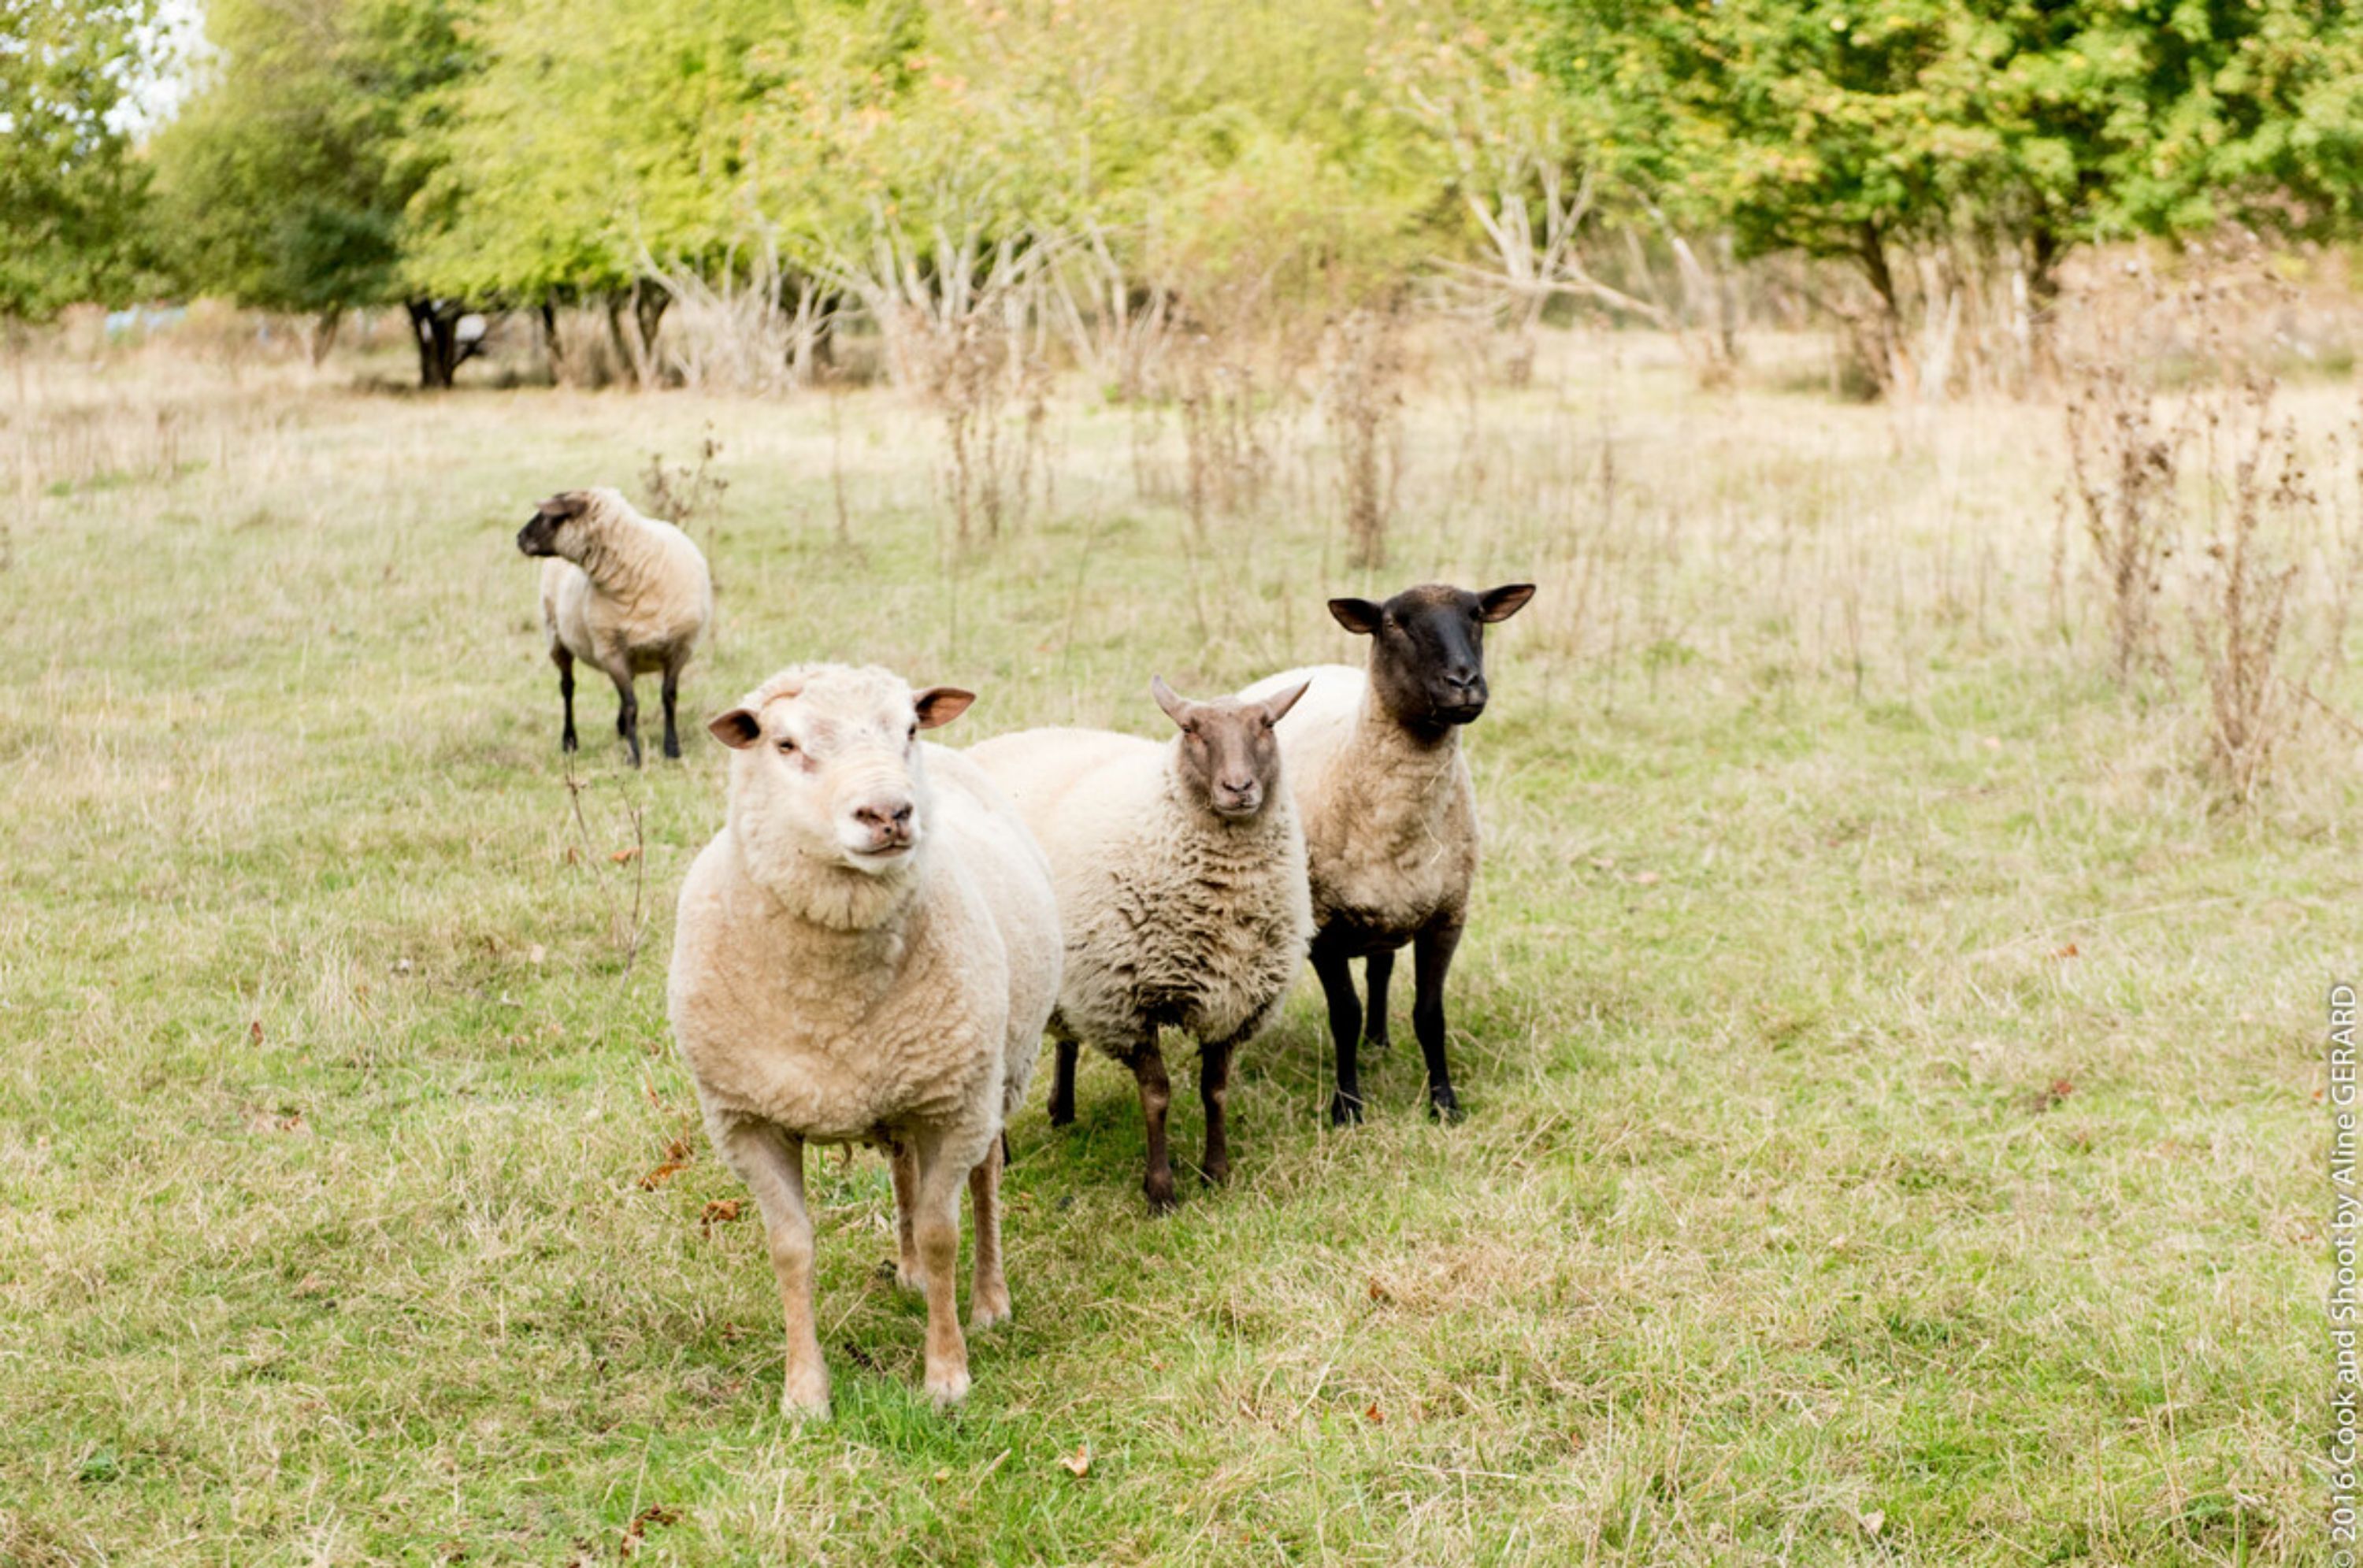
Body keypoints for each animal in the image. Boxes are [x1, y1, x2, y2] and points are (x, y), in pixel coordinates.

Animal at [514, 487, 713, 766]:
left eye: (549, 515)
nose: (519, 538)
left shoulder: (680, 648)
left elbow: (669, 697)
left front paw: (672, 749)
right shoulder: (611, 651)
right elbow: (631, 704)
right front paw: (634, 756)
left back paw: (619, 729)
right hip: (556, 637)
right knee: (568, 688)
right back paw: (570, 740)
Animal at [667, 663, 1061, 1415]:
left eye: (908, 728)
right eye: (785, 744)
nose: (889, 813)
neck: (833, 1006)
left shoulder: (951, 1105)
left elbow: (941, 1232)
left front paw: (946, 1375)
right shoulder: (748, 1121)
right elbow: (790, 1248)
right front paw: (804, 1394)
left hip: (988, 1078)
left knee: (985, 1180)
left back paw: (989, 1300)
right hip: (901, 1084)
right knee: (903, 1167)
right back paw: (907, 1273)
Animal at [967, 675, 1313, 1211]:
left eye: (1268, 725)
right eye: (1190, 730)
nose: (1239, 789)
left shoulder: (1233, 1001)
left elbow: (1216, 1090)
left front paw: (1217, 1173)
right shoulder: (1126, 1002)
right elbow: (1157, 1097)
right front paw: (1161, 1191)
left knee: (1065, 1036)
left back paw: (1062, 1109)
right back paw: (1001, 1155)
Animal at [1243, 582, 1535, 1126]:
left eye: (1477, 614)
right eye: (1394, 624)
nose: (1464, 682)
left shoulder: (1445, 915)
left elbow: (1429, 1014)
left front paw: (1444, 1102)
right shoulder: (1325, 928)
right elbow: (1343, 1014)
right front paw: (1347, 1108)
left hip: (1390, 910)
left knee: (1380, 969)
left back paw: (1377, 1040)